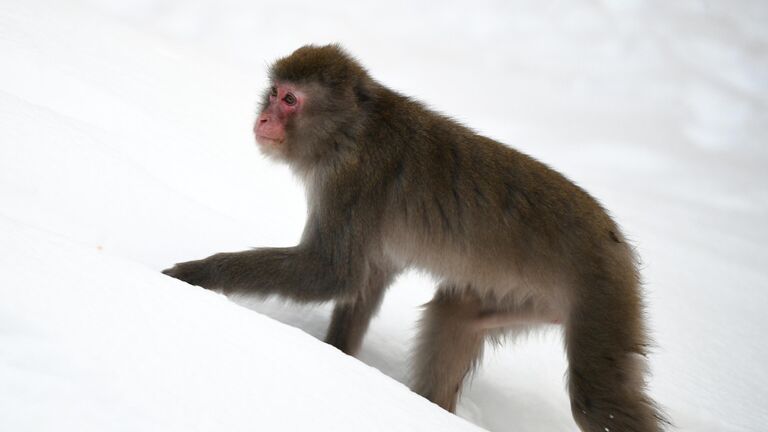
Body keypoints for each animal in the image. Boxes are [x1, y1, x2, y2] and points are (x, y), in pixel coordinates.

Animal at [164, 44, 664, 432]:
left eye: (290, 99)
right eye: (273, 93)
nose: (265, 117)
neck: (350, 132)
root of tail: (616, 238)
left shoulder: (352, 183)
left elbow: (333, 273)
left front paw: (195, 275)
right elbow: (367, 279)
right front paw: (336, 356)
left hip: (602, 292)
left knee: (598, 402)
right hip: (528, 297)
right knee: (455, 314)